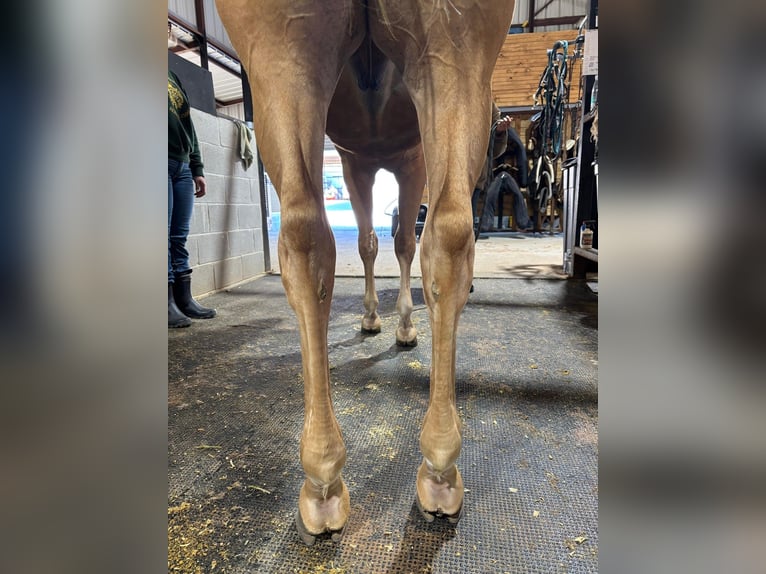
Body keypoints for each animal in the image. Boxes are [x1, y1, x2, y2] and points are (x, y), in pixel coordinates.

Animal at [215, 0, 514, 545]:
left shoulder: (386, 159)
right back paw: (427, 468)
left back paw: (333, 478)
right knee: (441, 232)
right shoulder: (372, 161)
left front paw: (390, 322)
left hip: (289, 47)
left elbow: (391, 242)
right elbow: (387, 242)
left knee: (311, 235)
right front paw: (389, 321)